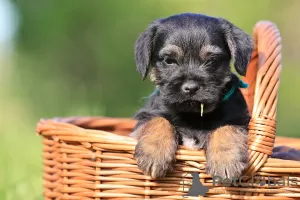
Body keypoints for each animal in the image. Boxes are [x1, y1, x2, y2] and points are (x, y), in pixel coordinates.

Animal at [130, 13, 252, 180]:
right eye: (169, 60)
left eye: (211, 60)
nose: (191, 87)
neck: (193, 115)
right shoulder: (147, 115)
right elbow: (158, 120)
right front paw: (154, 152)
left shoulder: (238, 118)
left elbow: (226, 128)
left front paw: (226, 161)